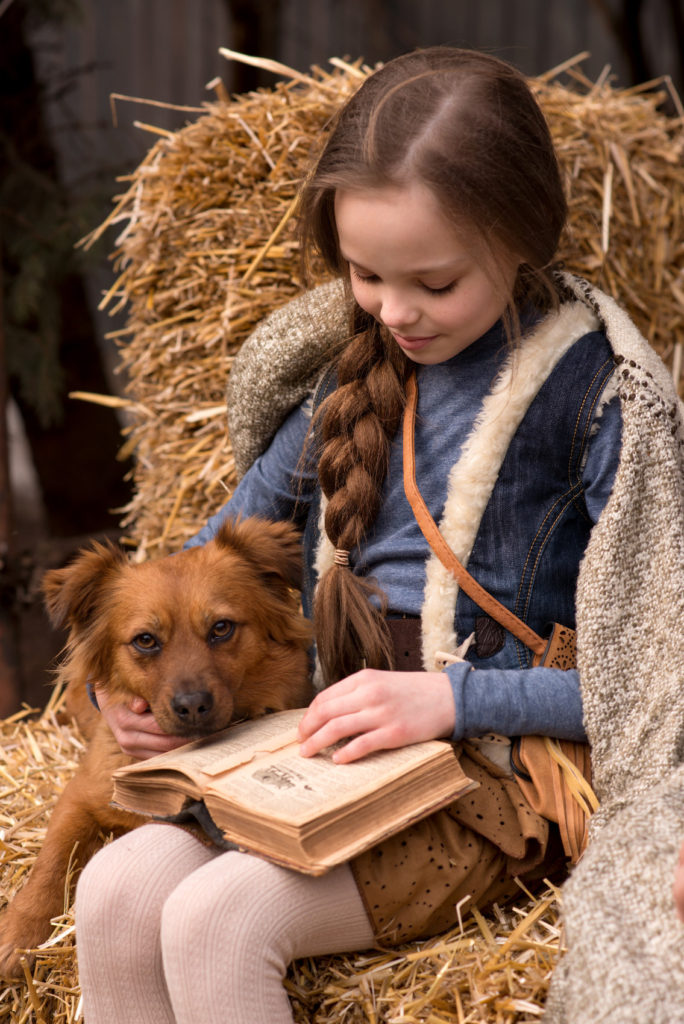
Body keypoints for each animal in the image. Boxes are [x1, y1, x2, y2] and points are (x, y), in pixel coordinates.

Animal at [0, 520, 311, 974]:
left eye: (221, 628)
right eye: (145, 640)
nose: (192, 705)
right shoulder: (80, 795)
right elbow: (51, 860)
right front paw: (19, 931)